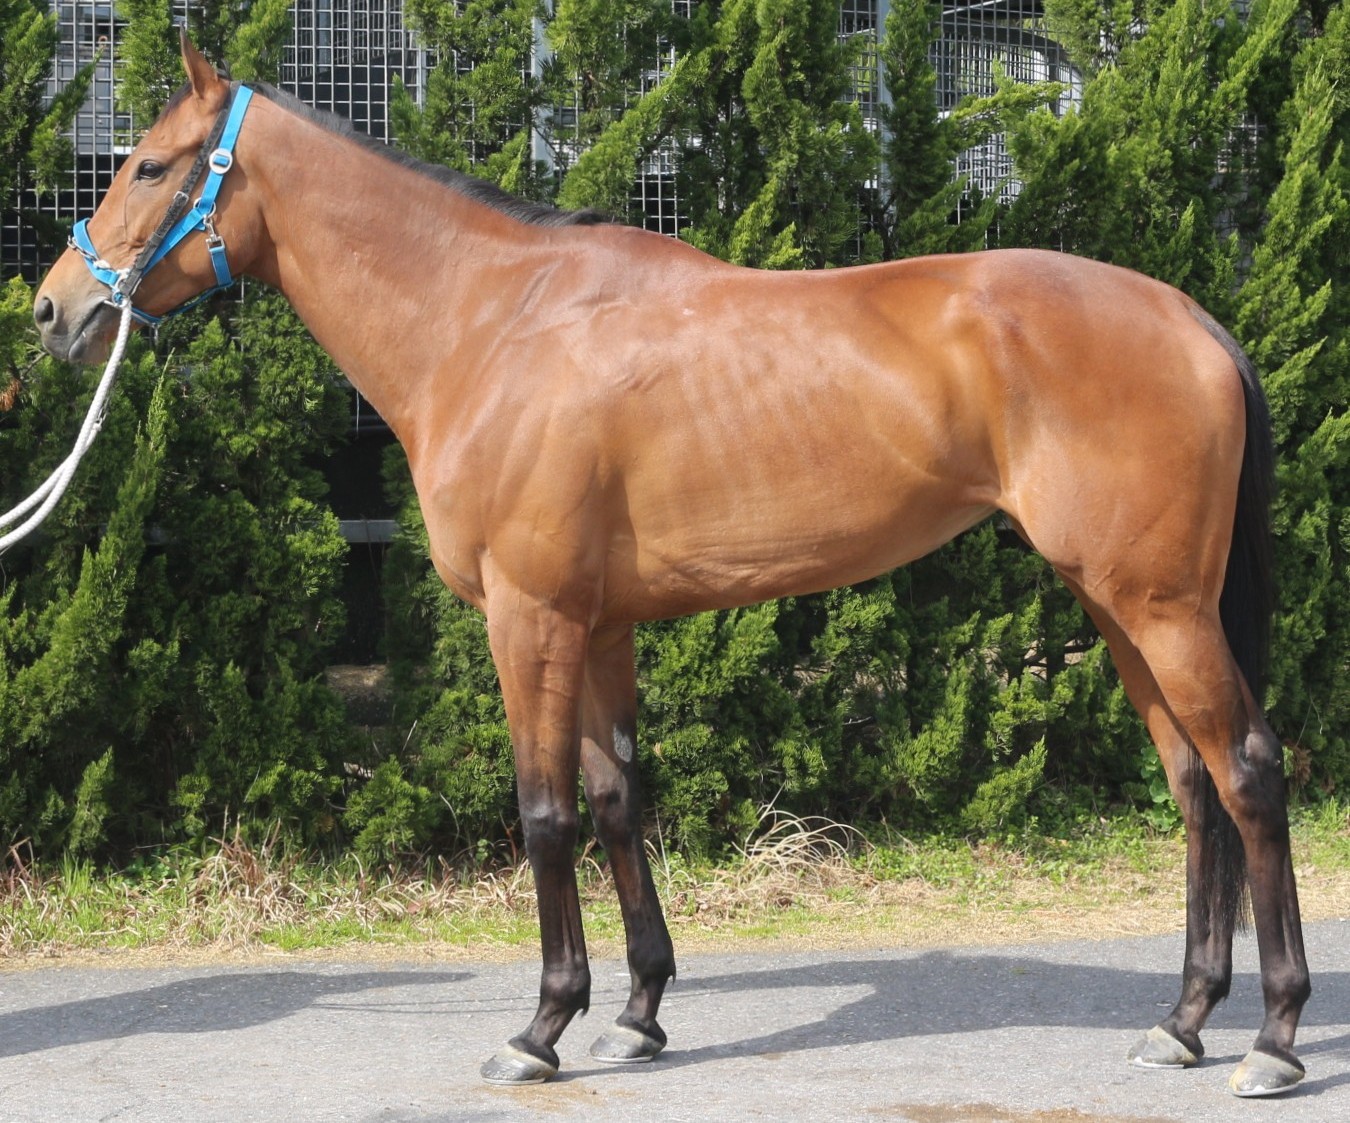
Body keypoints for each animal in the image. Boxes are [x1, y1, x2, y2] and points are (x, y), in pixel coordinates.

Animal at [33, 35, 1308, 1097]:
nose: (53, 310)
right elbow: (616, 799)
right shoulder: (599, 624)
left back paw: (1275, 1037)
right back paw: (1184, 1020)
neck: (493, 323)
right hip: (1119, 605)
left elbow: (544, 812)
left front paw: (541, 1027)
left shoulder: (530, 617)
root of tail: (1193, 319)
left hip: (1162, 607)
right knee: (1193, 785)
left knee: (1247, 771)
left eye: (149, 166)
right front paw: (637, 1012)